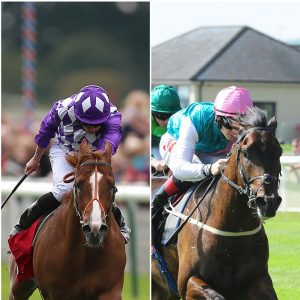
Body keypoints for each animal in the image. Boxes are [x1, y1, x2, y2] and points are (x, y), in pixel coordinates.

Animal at [9, 141, 126, 300]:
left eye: (112, 186)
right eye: (79, 184)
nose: (94, 228)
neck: (86, 255)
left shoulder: (110, 290)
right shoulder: (57, 293)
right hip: (18, 284)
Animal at [152, 108, 284, 300]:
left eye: (279, 152)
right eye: (246, 153)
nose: (268, 201)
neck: (233, 227)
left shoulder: (258, 279)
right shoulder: (186, 283)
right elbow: (215, 296)